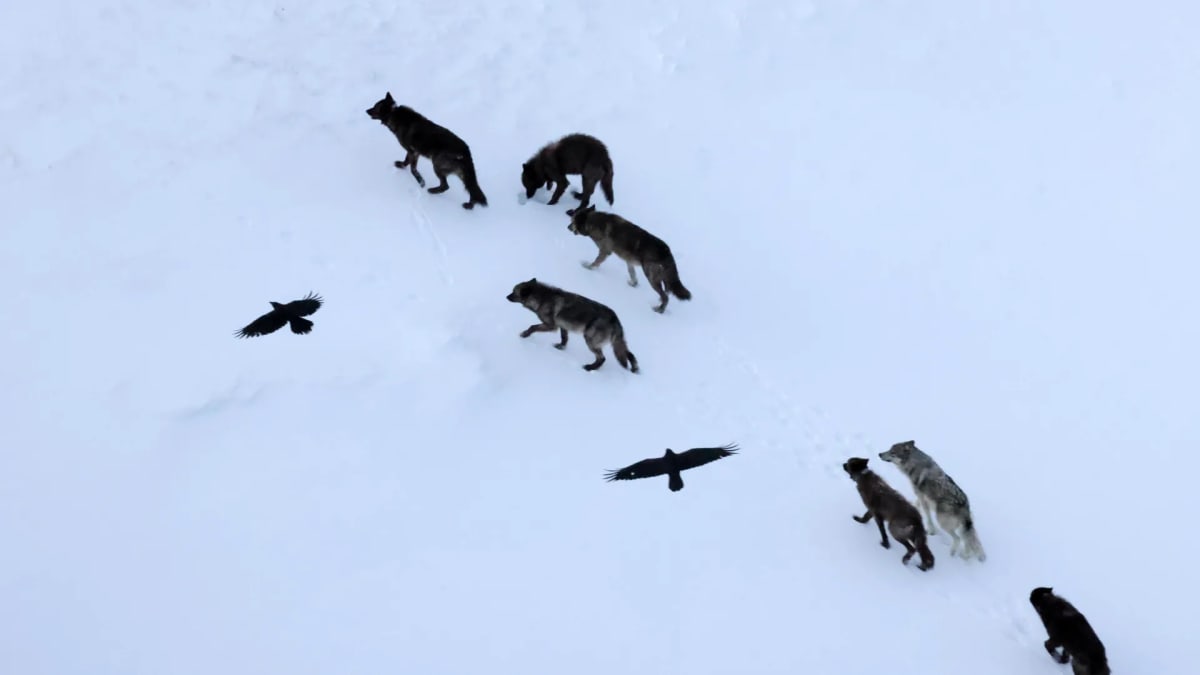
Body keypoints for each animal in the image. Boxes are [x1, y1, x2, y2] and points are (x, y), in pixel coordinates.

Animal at [505, 278, 639, 373]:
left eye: (513, 292)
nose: (506, 296)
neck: (542, 298)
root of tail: (615, 318)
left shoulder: (551, 326)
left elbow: (532, 327)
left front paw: (524, 334)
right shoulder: (563, 326)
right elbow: (564, 338)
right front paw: (561, 347)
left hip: (590, 340)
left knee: (602, 358)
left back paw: (590, 368)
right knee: (629, 354)